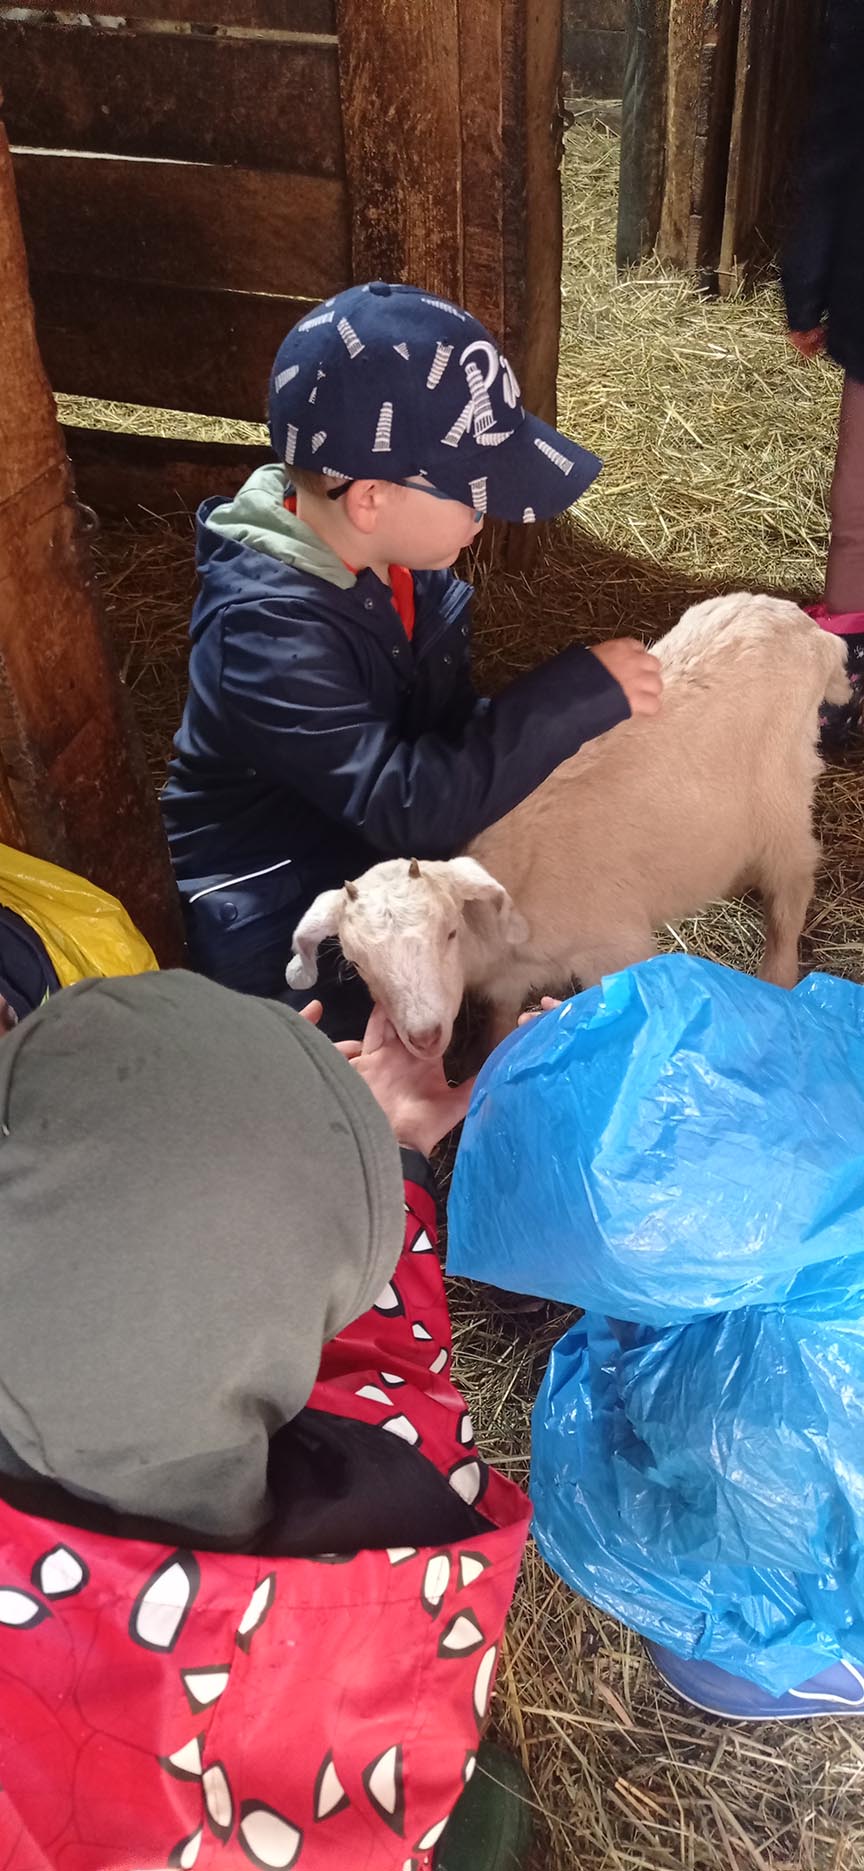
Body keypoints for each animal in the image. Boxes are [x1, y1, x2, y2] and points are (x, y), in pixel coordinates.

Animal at [286, 594, 850, 1059]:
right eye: (358, 964)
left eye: (448, 932)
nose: (423, 1037)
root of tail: (810, 632)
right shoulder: (509, 977)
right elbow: (499, 1025)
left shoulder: (615, 946)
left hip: (781, 791)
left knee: (795, 879)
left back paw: (777, 977)